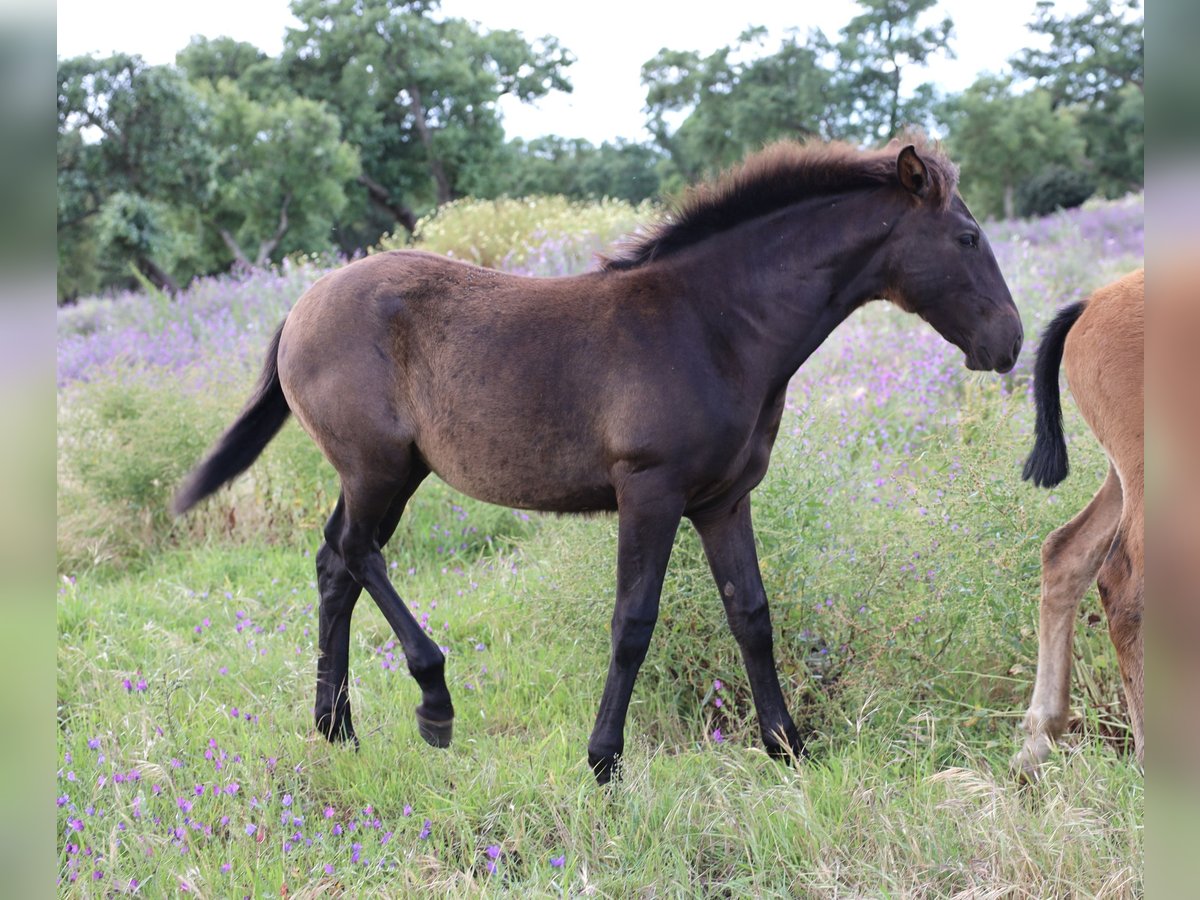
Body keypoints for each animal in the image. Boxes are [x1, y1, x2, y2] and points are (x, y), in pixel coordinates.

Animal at [175, 141, 1022, 782]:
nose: (1010, 342)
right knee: (358, 554)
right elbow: (633, 621)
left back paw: (337, 728)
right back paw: (433, 703)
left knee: (335, 565)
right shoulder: (650, 491)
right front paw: (604, 761)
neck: (714, 324)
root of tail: (300, 308)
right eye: (967, 239)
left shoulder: (724, 499)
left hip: (394, 473)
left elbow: (751, 614)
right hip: (376, 466)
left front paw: (788, 747)